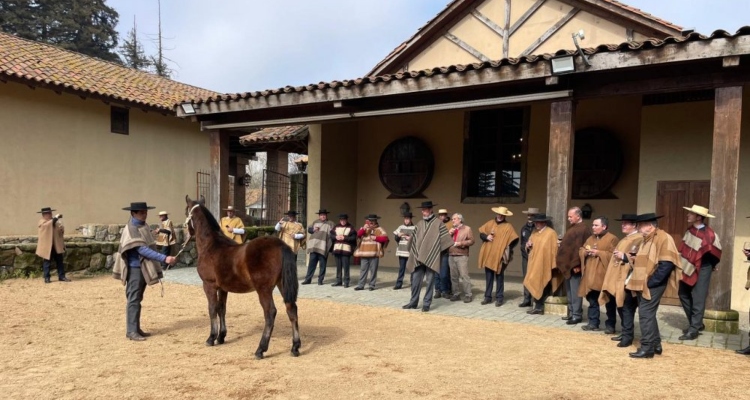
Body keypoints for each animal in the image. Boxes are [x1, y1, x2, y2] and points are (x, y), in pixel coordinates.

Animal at [184, 196, 302, 360]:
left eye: (185, 210)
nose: (186, 233)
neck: (211, 245)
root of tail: (281, 245)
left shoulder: (209, 285)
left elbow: (212, 308)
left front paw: (211, 338)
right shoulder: (223, 288)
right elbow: (222, 309)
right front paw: (221, 337)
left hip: (264, 290)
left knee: (270, 313)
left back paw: (260, 349)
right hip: (282, 285)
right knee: (291, 309)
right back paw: (295, 347)